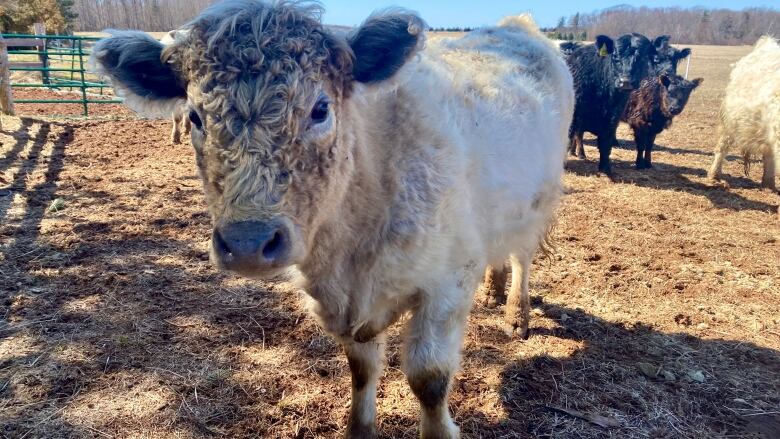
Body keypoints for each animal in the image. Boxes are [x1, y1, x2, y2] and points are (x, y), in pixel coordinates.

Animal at [568, 34, 660, 175]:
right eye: (615, 56)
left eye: (642, 58)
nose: (625, 82)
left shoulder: (612, 118)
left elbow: (606, 144)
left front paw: (605, 168)